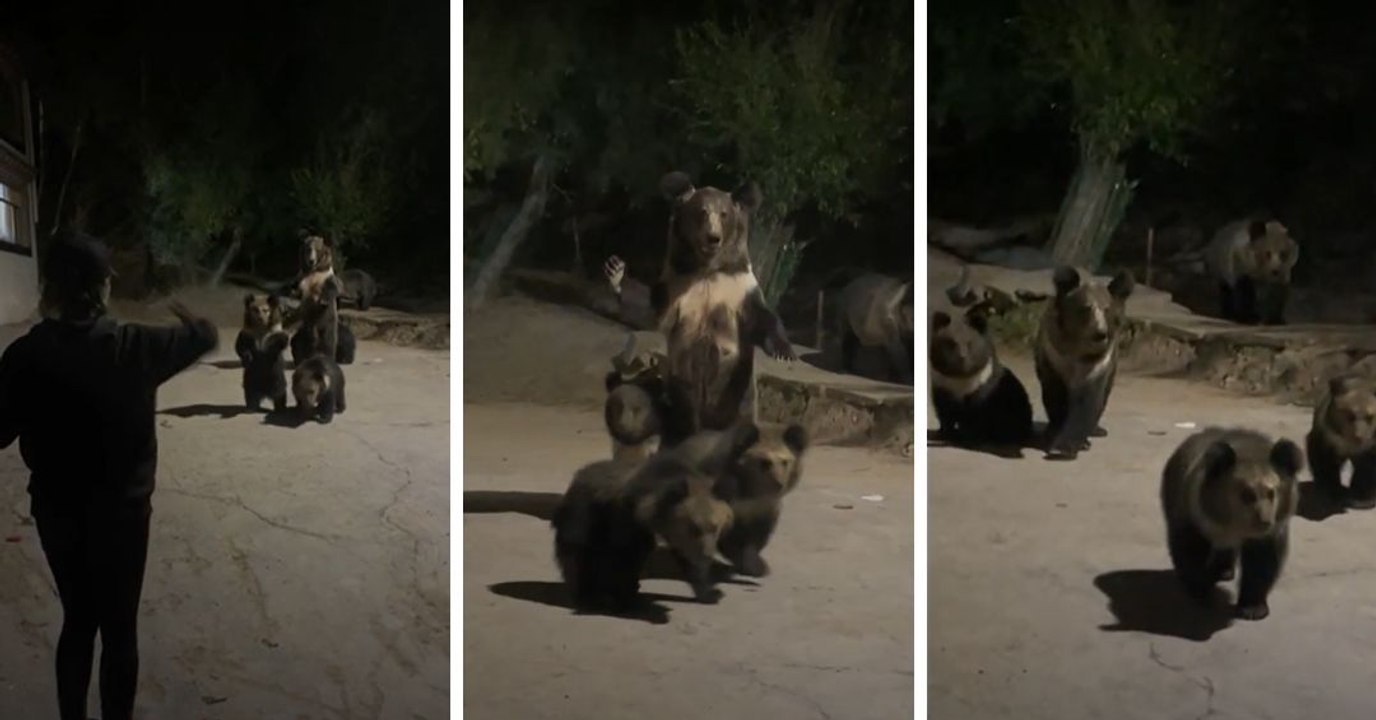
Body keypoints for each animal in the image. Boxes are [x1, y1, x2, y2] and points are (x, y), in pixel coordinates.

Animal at [1160, 427, 1303, 621]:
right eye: (1247, 494)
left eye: (1272, 492)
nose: (1264, 521)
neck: (1231, 525)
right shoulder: (1194, 517)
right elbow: (1189, 551)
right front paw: (1202, 593)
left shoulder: (1270, 533)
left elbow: (1262, 563)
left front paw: (1253, 608)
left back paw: (1224, 570)